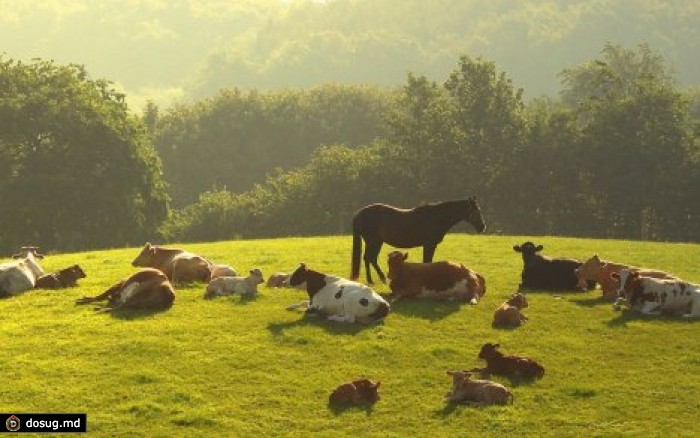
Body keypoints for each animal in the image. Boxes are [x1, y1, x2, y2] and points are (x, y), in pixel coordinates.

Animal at [350, 198, 486, 284]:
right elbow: (427, 261)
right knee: (370, 258)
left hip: (374, 242)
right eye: (476, 211)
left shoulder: (430, 245)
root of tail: (359, 214)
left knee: (369, 259)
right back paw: (376, 279)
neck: (437, 217)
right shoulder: (429, 245)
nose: (483, 227)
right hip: (374, 241)